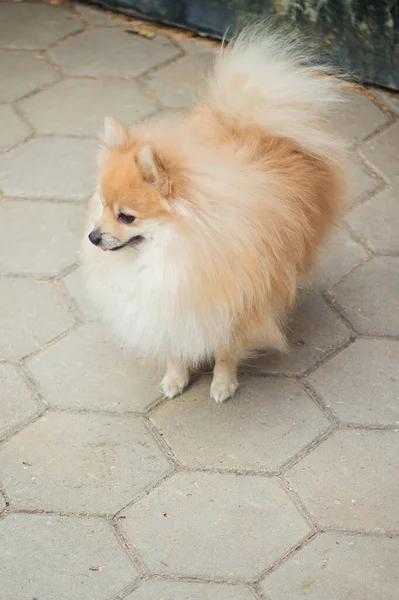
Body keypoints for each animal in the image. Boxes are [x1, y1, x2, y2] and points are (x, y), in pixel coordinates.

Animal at [81, 25, 346, 406]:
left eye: (126, 217)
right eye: (101, 204)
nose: (93, 236)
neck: (175, 248)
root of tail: (254, 120)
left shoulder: (234, 302)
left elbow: (226, 350)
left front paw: (222, 384)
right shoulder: (172, 307)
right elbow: (174, 344)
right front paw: (175, 378)